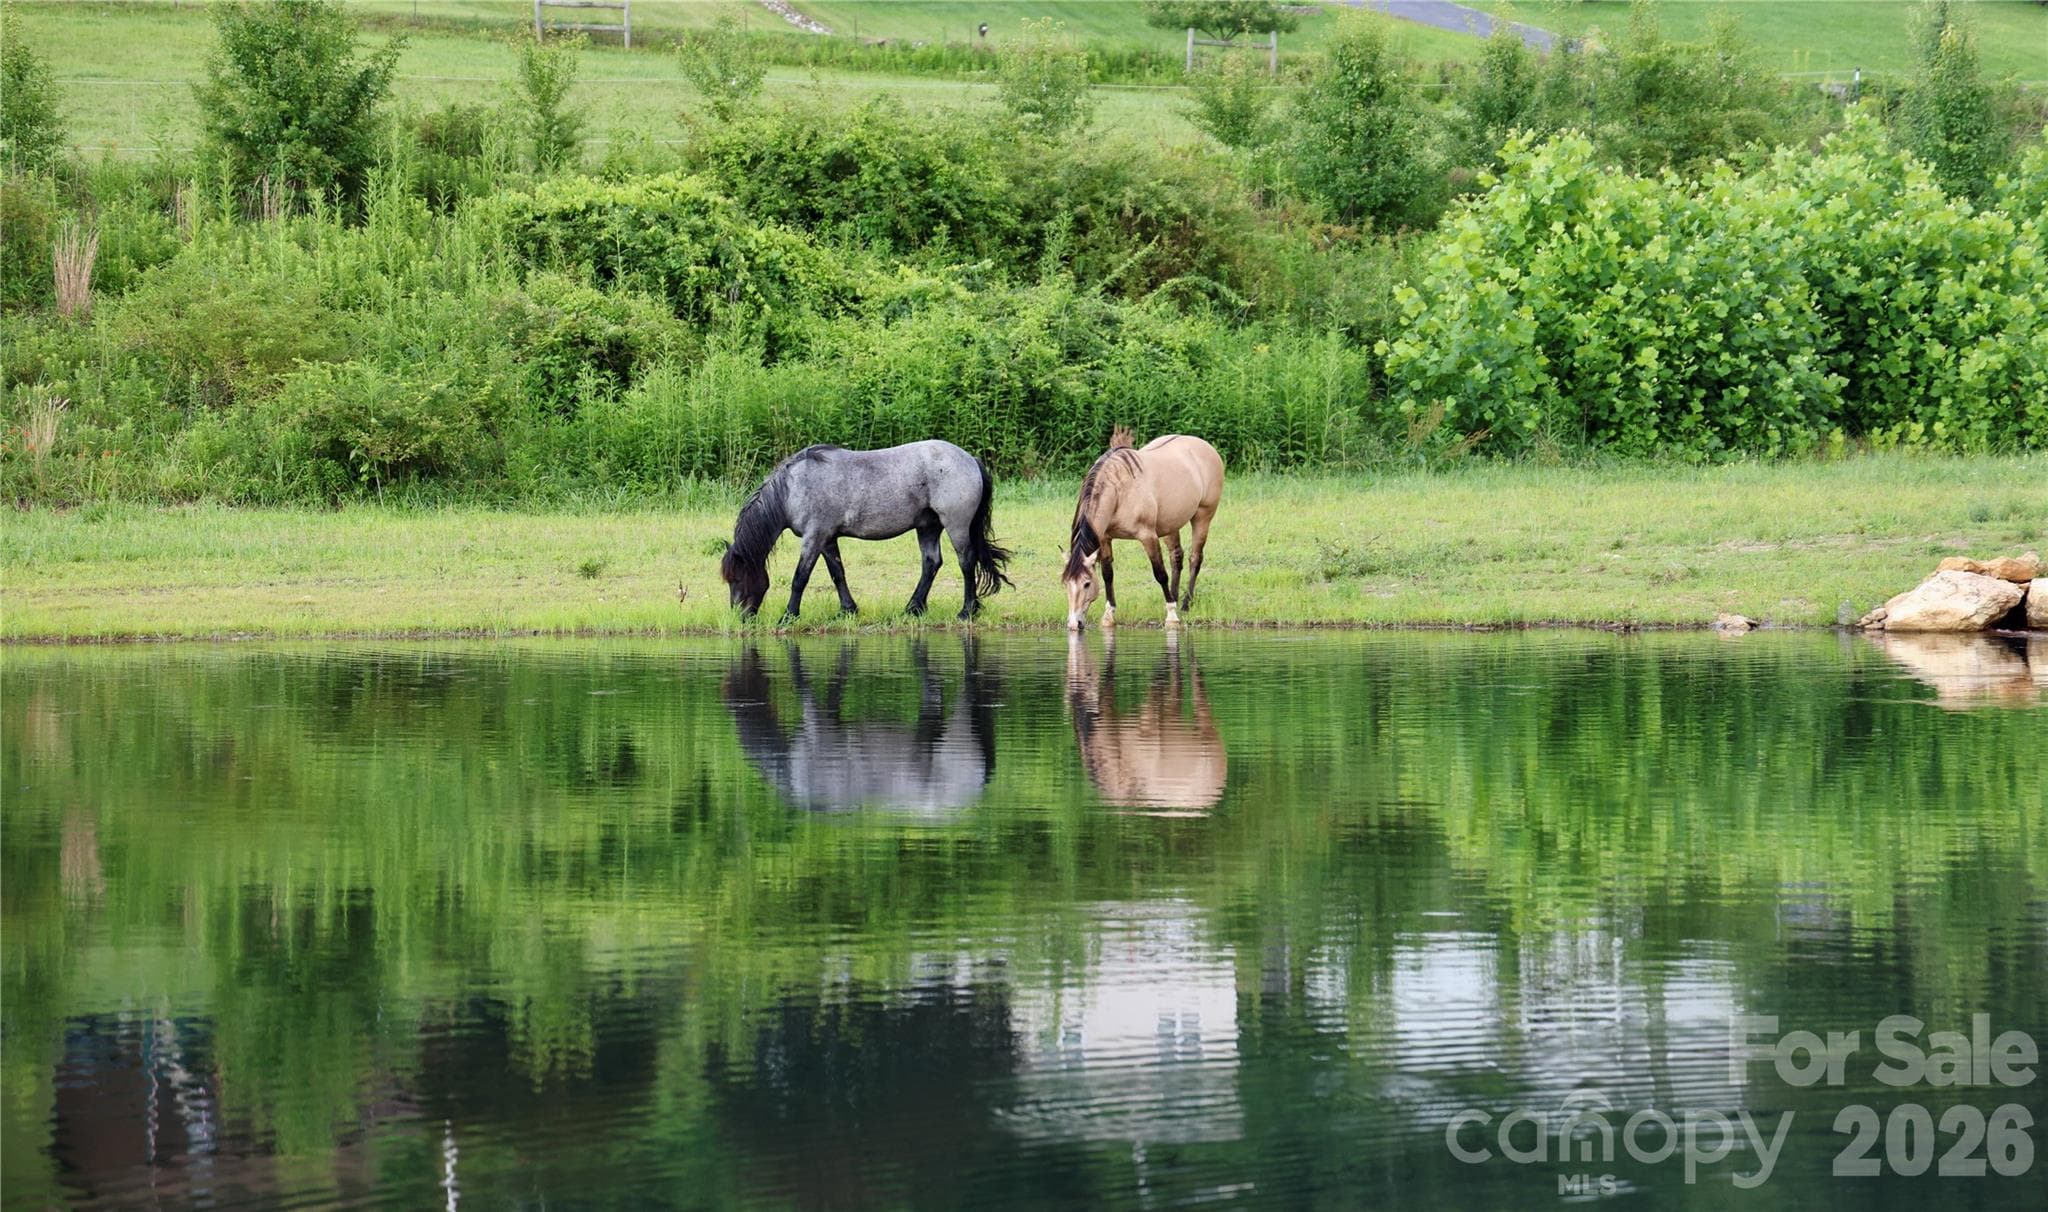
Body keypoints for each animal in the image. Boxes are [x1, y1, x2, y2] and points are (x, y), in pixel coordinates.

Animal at [721, 440, 1013, 623]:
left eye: (738, 578)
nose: (740, 617)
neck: (793, 488)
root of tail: (970, 459)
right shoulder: (827, 539)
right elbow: (837, 573)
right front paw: (847, 611)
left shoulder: (814, 537)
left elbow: (800, 578)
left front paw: (789, 616)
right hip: (928, 527)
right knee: (931, 563)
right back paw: (913, 608)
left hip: (956, 525)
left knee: (966, 562)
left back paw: (966, 611)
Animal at [1062, 428, 1224, 630]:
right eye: (1066, 583)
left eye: (1086, 583)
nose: (1074, 624)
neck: (1119, 491)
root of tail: (1206, 447)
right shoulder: (1105, 538)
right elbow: (1108, 574)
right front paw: (1109, 615)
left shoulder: (1148, 537)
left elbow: (1160, 574)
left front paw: (1172, 616)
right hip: (1171, 524)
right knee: (1176, 557)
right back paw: (1175, 597)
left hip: (1203, 516)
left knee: (1195, 558)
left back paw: (1186, 603)